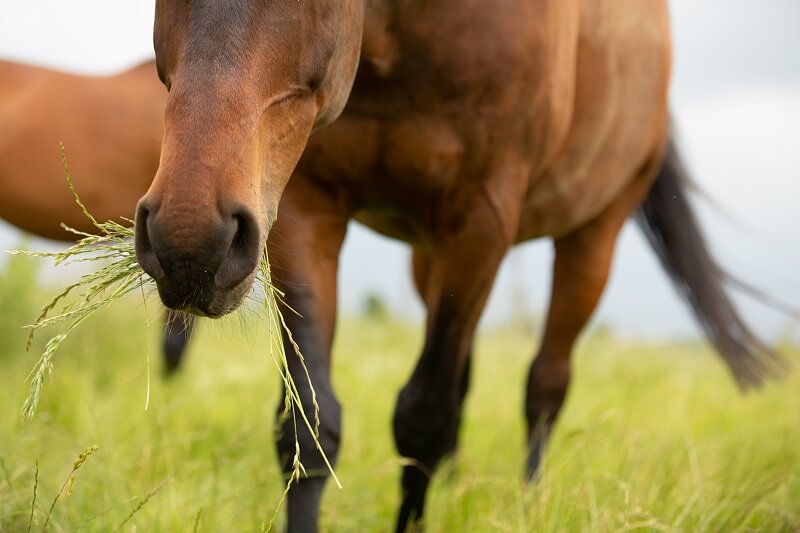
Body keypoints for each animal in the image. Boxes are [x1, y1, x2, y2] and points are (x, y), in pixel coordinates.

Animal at [134, 2, 784, 528]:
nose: (190, 241)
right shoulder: (303, 205)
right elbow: (309, 429)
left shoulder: (481, 217)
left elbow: (423, 418)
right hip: (428, 257)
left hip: (592, 238)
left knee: (545, 386)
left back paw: (529, 503)